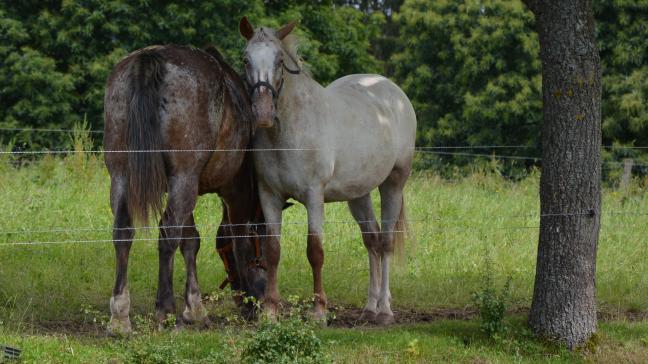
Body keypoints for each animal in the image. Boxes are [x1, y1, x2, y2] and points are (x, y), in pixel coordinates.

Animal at [240, 17, 418, 324]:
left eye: (279, 61)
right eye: (245, 59)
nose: (263, 113)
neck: (288, 132)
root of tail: (394, 93)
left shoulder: (314, 196)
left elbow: (315, 251)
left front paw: (319, 311)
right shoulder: (269, 195)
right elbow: (273, 251)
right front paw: (271, 310)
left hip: (393, 184)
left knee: (385, 242)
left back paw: (384, 310)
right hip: (358, 195)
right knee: (371, 240)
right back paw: (369, 308)